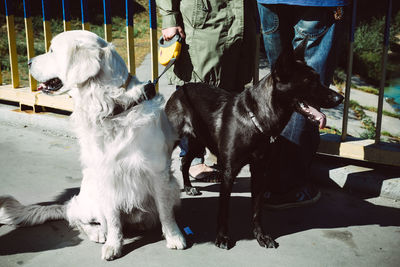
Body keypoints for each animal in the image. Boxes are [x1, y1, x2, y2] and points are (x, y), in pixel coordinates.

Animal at [0, 30, 187, 260]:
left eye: (52, 51)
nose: (28, 62)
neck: (113, 108)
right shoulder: (106, 176)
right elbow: (113, 220)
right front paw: (114, 245)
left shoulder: (158, 173)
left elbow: (165, 212)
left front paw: (174, 236)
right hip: (90, 199)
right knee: (76, 217)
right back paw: (97, 232)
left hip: (174, 187)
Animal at [164, 43, 342, 250]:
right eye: (309, 81)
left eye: (318, 78)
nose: (339, 98)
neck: (256, 119)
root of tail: (181, 89)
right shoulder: (229, 172)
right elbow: (224, 210)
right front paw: (222, 237)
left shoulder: (259, 171)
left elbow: (257, 210)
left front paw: (261, 236)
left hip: (197, 141)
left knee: (184, 162)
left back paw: (188, 186)